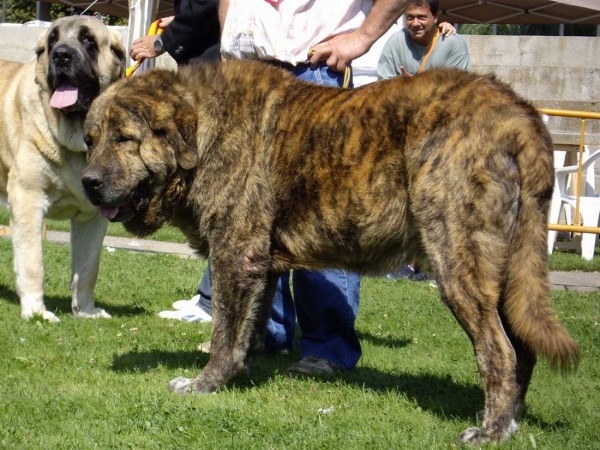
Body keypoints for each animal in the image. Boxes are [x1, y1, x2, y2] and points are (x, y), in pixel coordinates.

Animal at [82, 61, 580, 444]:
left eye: (125, 139)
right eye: (90, 140)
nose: (88, 182)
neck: (205, 130)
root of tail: (519, 114)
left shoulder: (233, 254)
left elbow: (225, 330)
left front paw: (204, 383)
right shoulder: (260, 264)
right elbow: (248, 327)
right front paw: (241, 372)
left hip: (458, 263)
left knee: (499, 351)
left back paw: (491, 430)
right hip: (508, 271)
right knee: (522, 347)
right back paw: (509, 419)